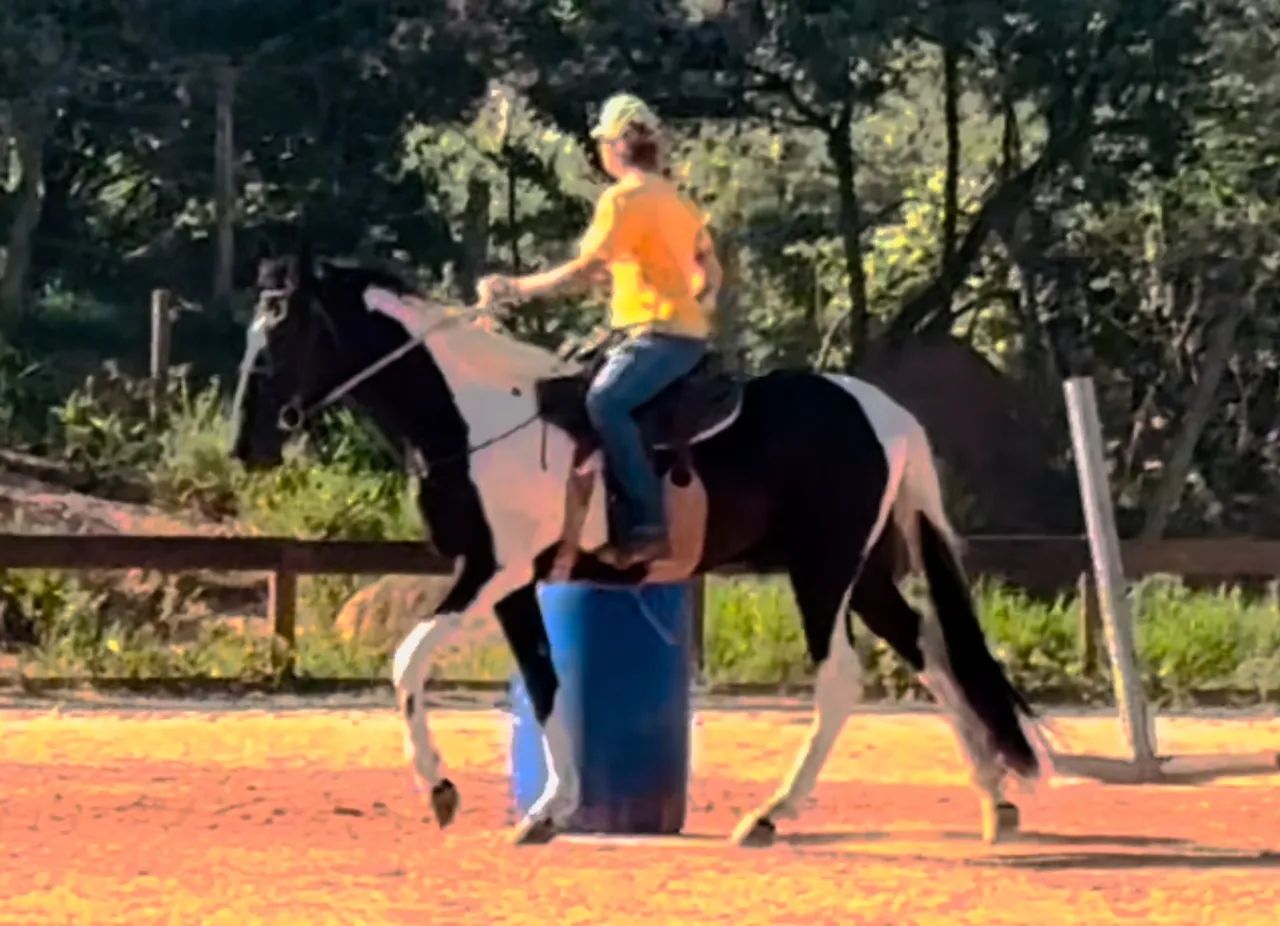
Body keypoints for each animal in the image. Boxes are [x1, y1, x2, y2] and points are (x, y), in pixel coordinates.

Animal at [231, 247, 1044, 847]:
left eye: (283, 330)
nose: (247, 442)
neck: (478, 417)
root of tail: (879, 408)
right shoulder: (520, 584)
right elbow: (548, 682)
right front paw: (550, 809)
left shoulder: (491, 570)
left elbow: (409, 660)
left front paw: (440, 789)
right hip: (863, 571)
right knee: (928, 648)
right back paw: (995, 802)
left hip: (822, 573)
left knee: (843, 680)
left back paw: (771, 814)